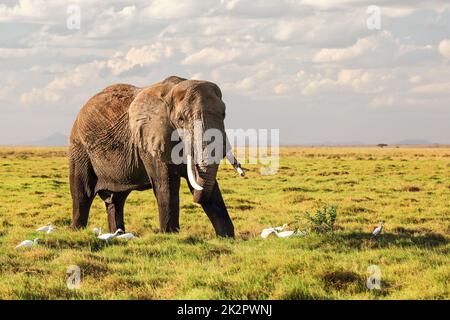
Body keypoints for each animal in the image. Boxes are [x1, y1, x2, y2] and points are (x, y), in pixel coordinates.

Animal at [67, 76, 243, 238]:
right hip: (80, 149)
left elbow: (205, 185)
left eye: (224, 114)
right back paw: (78, 231)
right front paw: (170, 236)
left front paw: (227, 237)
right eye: (181, 120)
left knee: (116, 200)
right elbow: (166, 185)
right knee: (82, 194)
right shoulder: (150, 140)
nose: (195, 200)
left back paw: (118, 234)